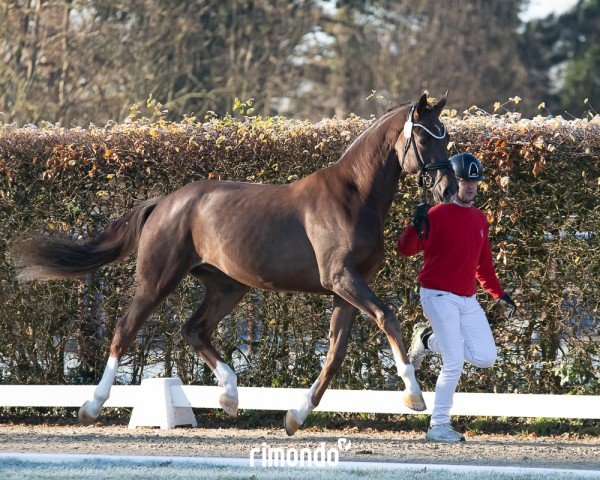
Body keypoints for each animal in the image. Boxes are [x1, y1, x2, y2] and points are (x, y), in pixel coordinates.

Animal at [12, 93, 454, 436]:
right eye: (422, 135)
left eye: (446, 135)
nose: (448, 188)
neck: (353, 196)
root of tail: (164, 202)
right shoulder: (341, 279)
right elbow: (386, 317)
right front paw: (414, 396)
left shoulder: (345, 289)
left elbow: (335, 353)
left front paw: (296, 416)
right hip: (157, 280)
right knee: (125, 330)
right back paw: (92, 405)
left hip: (228, 286)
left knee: (194, 330)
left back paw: (228, 394)